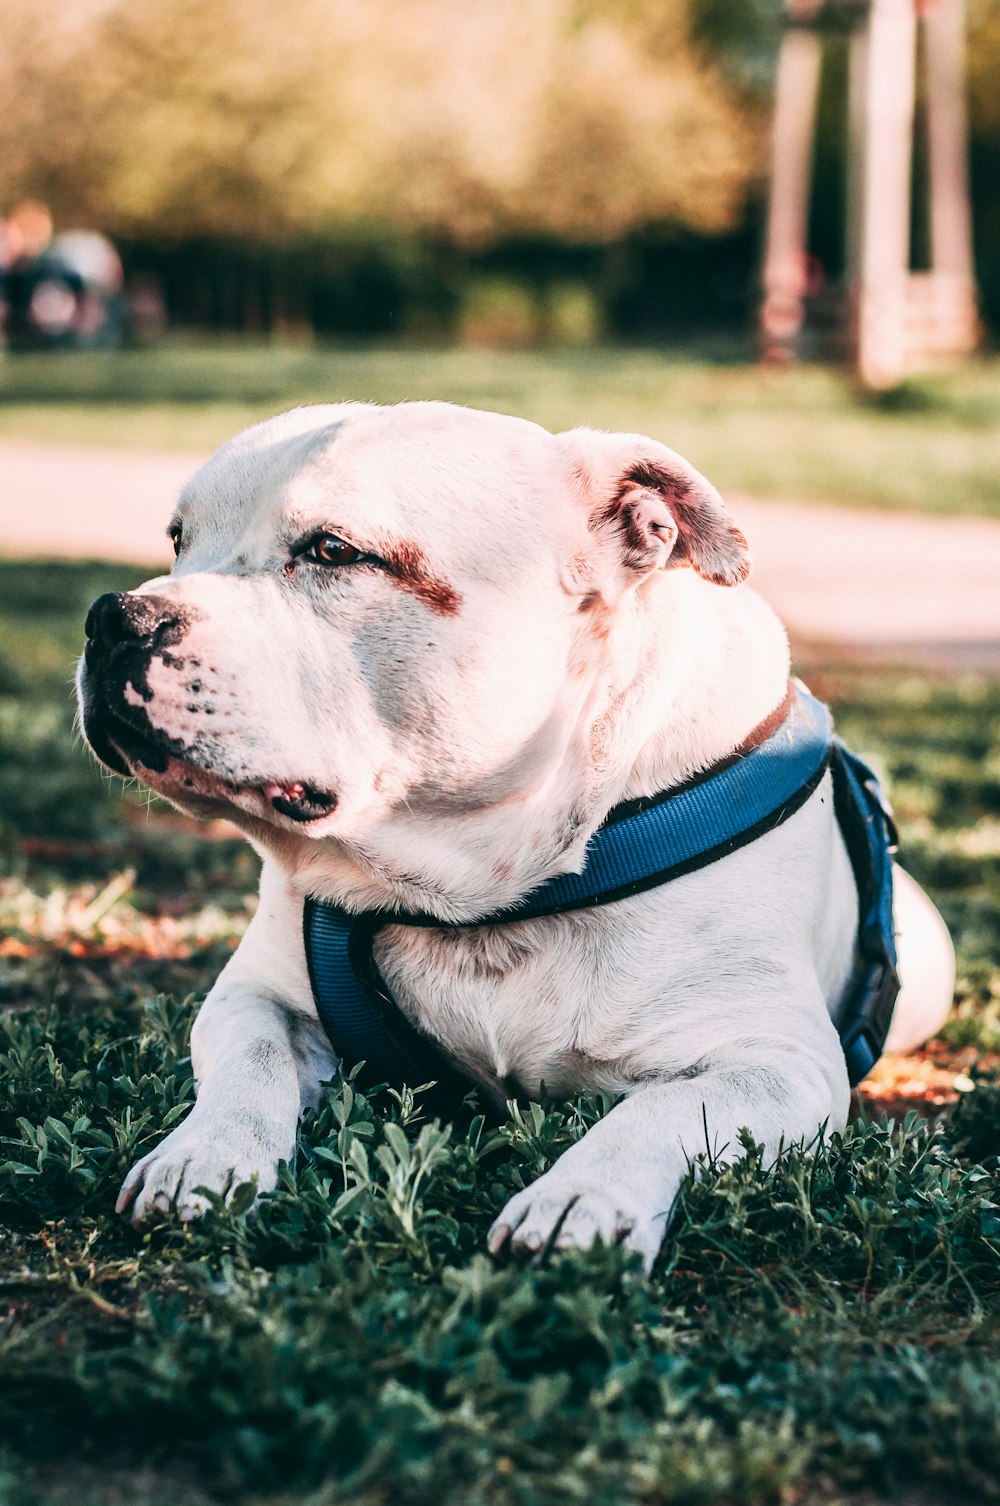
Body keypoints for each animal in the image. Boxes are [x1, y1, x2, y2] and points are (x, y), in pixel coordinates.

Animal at [76, 403, 951, 1271]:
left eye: (332, 551)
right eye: (179, 541)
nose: (115, 615)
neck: (481, 884)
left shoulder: (777, 1063)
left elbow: (663, 1111)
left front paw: (583, 1199)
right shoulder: (257, 995)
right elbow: (248, 1067)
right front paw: (203, 1155)